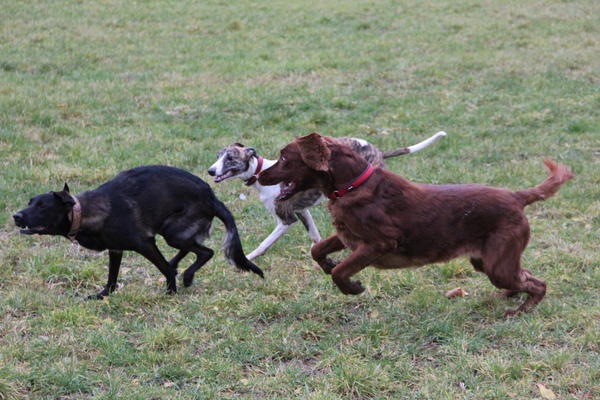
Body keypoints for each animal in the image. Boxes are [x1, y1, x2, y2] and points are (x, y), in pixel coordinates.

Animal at [13, 164, 262, 298]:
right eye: (30, 202)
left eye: (42, 206)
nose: (16, 216)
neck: (83, 212)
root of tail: (212, 197)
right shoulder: (115, 249)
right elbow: (112, 278)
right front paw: (103, 296)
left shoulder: (145, 244)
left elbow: (164, 270)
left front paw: (170, 292)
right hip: (174, 233)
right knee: (192, 249)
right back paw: (180, 266)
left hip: (173, 232)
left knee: (205, 252)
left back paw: (187, 276)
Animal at [207, 131, 446, 260]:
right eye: (218, 156)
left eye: (230, 158)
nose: (210, 171)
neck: (260, 172)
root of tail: (378, 151)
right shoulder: (301, 210)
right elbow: (315, 236)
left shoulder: (286, 219)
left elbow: (264, 244)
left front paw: (247, 258)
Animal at [258, 134, 576, 316]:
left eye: (284, 157)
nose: (259, 175)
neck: (351, 186)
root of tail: (517, 196)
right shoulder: (348, 235)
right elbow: (318, 251)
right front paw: (328, 265)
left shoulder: (379, 242)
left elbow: (340, 271)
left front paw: (354, 287)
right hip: (487, 260)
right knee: (523, 276)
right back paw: (509, 297)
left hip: (497, 264)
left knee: (538, 283)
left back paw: (521, 310)